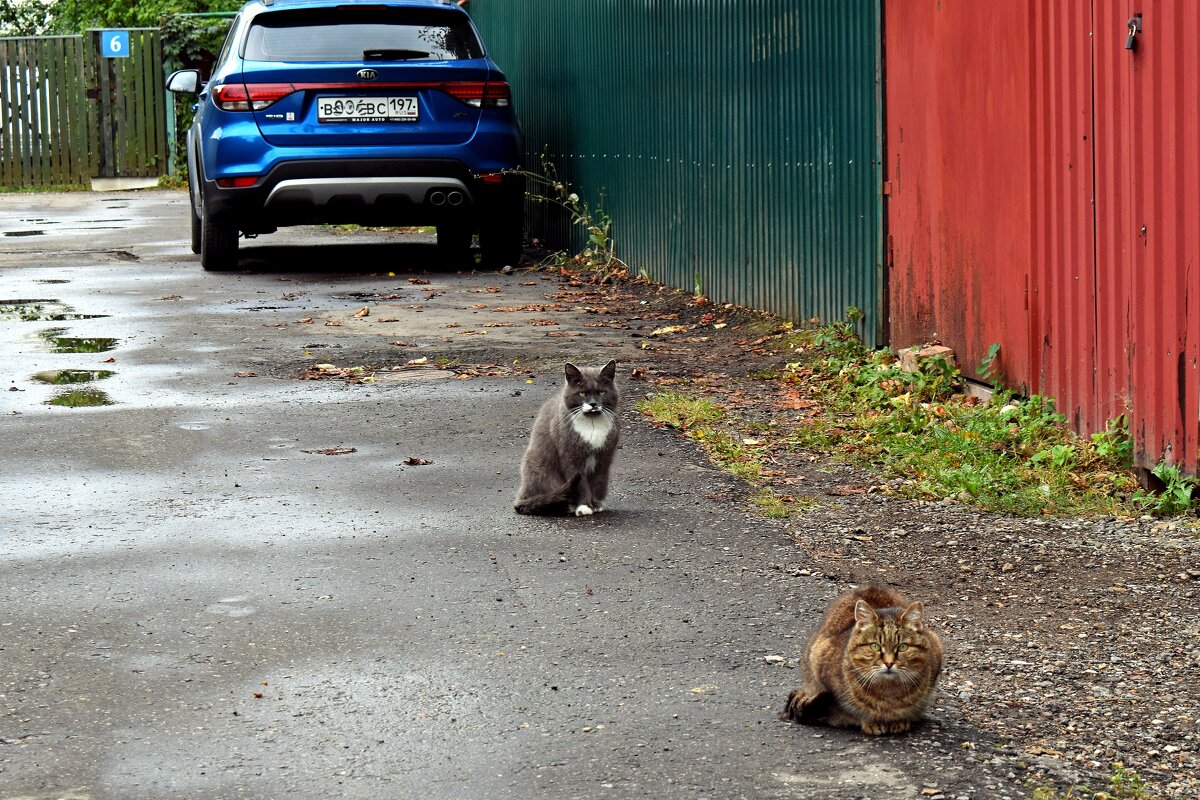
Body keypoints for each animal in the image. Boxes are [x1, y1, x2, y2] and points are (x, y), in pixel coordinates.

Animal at [513, 359, 619, 515]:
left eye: (601, 392)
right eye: (582, 393)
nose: (593, 404)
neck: (592, 424)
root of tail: (520, 496)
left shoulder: (604, 458)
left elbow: (595, 482)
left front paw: (594, 505)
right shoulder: (570, 456)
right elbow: (581, 484)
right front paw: (584, 506)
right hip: (539, 468)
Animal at [782, 585, 940, 734]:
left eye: (902, 647)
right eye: (875, 646)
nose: (889, 663)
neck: (888, 692)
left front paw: (899, 721)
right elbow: (852, 712)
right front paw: (871, 722)